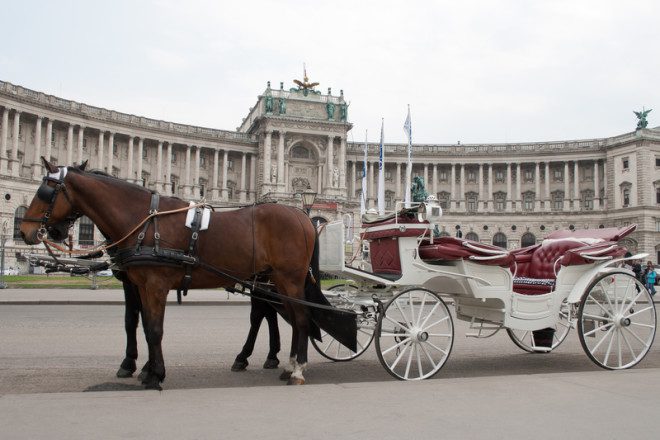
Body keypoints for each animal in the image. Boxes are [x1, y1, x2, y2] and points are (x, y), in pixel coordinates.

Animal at [19, 159, 356, 388]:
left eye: (46, 191)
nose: (25, 232)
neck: (144, 221)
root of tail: (304, 215)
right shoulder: (139, 284)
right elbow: (140, 324)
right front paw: (143, 369)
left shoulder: (154, 284)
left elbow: (154, 329)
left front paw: (153, 375)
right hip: (274, 280)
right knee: (280, 316)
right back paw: (283, 363)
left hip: (289, 278)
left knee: (299, 318)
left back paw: (296, 369)